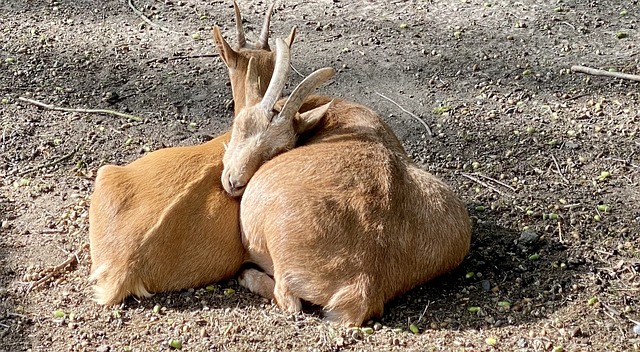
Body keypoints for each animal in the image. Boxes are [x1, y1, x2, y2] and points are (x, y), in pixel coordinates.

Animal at [222, 40, 472, 326]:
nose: (234, 182)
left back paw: (245, 274)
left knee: (287, 300)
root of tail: (363, 284)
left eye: (280, 149)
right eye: (241, 125)